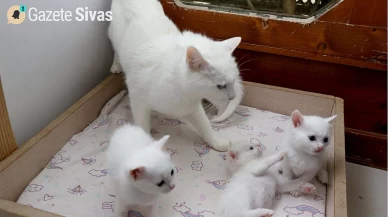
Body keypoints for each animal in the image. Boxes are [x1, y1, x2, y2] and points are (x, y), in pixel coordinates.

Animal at [107, 0, 244, 151]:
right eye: (220, 86)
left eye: (233, 81)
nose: (232, 97)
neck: (183, 90)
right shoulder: (138, 101)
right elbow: (143, 127)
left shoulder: (193, 108)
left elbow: (205, 126)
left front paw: (216, 142)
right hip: (113, 34)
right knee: (115, 49)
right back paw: (116, 65)